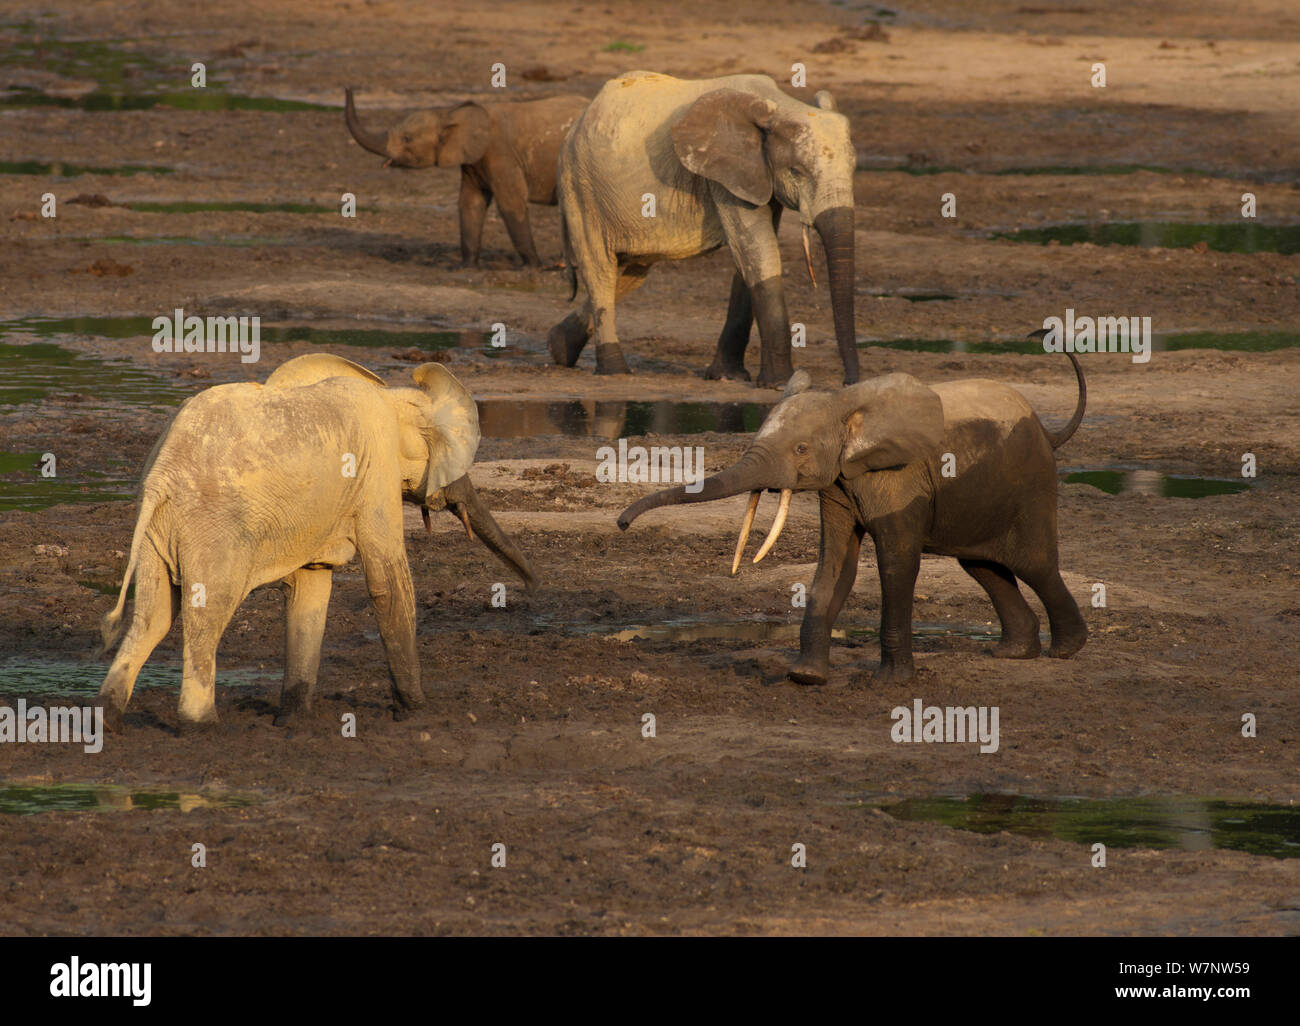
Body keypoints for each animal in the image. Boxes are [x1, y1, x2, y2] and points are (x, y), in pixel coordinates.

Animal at [98, 356, 538, 733]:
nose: (534, 587)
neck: (393, 396)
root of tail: (161, 475)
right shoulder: (376, 470)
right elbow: (387, 582)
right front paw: (416, 712)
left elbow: (308, 589)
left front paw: (293, 720)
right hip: (213, 525)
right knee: (207, 612)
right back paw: (201, 726)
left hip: (159, 529)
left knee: (153, 615)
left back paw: (107, 720)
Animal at [345, 87, 590, 267]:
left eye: (407, 139)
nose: (349, 87)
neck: (449, 113)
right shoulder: (474, 160)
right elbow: (471, 203)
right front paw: (466, 267)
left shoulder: (500, 154)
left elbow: (511, 203)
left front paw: (533, 267)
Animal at [548, 69, 863, 387]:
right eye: (797, 172)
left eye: (853, 169)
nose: (849, 382)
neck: (779, 105)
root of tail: (577, 124)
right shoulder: (724, 175)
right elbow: (759, 254)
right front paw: (778, 383)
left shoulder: (756, 177)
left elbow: (749, 258)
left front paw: (727, 376)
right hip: (581, 188)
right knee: (600, 269)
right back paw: (614, 369)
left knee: (628, 271)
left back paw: (559, 347)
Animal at [616, 356, 1086, 686]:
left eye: (801, 449)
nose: (621, 524)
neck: (845, 408)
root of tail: (1047, 430)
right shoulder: (840, 482)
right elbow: (835, 563)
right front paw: (805, 677)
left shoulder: (901, 476)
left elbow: (897, 563)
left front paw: (888, 683)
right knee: (983, 566)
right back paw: (1014, 654)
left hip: (1032, 484)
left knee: (1034, 564)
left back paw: (1067, 651)